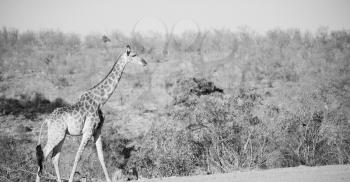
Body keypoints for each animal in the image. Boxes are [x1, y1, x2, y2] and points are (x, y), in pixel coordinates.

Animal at [34, 45, 146, 182]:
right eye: (134, 55)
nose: (145, 62)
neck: (101, 100)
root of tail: (47, 119)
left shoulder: (97, 130)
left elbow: (101, 157)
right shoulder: (88, 131)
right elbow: (78, 156)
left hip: (61, 135)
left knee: (54, 157)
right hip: (57, 134)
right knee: (43, 155)